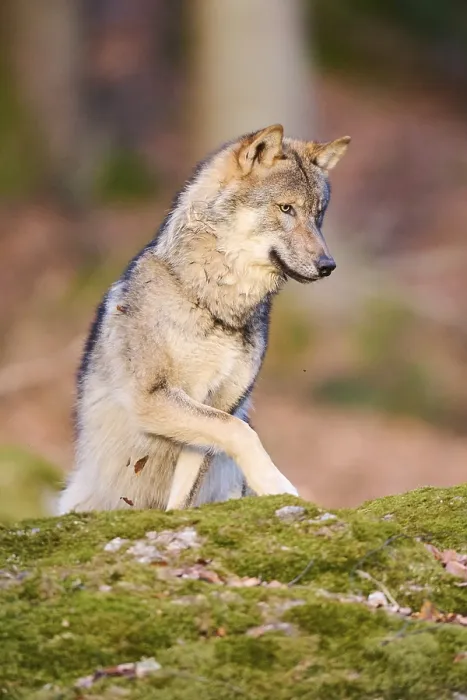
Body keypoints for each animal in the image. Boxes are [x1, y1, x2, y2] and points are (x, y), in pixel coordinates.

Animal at [58, 124, 350, 514]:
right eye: (286, 208)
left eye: (318, 215)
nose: (328, 265)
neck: (211, 303)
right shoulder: (154, 399)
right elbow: (241, 433)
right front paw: (277, 485)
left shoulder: (219, 407)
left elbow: (185, 494)